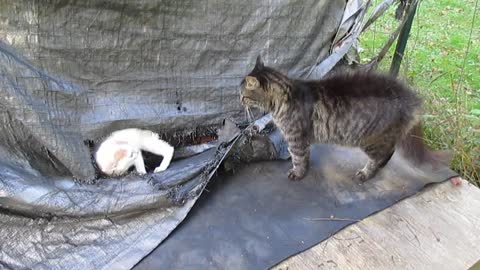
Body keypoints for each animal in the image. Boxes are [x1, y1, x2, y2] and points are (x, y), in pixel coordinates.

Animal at [242, 56, 448, 181]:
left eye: (242, 95)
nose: (239, 100)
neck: (285, 96)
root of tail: (410, 97)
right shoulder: (302, 139)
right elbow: (304, 156)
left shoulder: (296, 139)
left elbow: (298, 158)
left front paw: (298, 173)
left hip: (371, 140)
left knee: (384, 154)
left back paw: (366, 173)